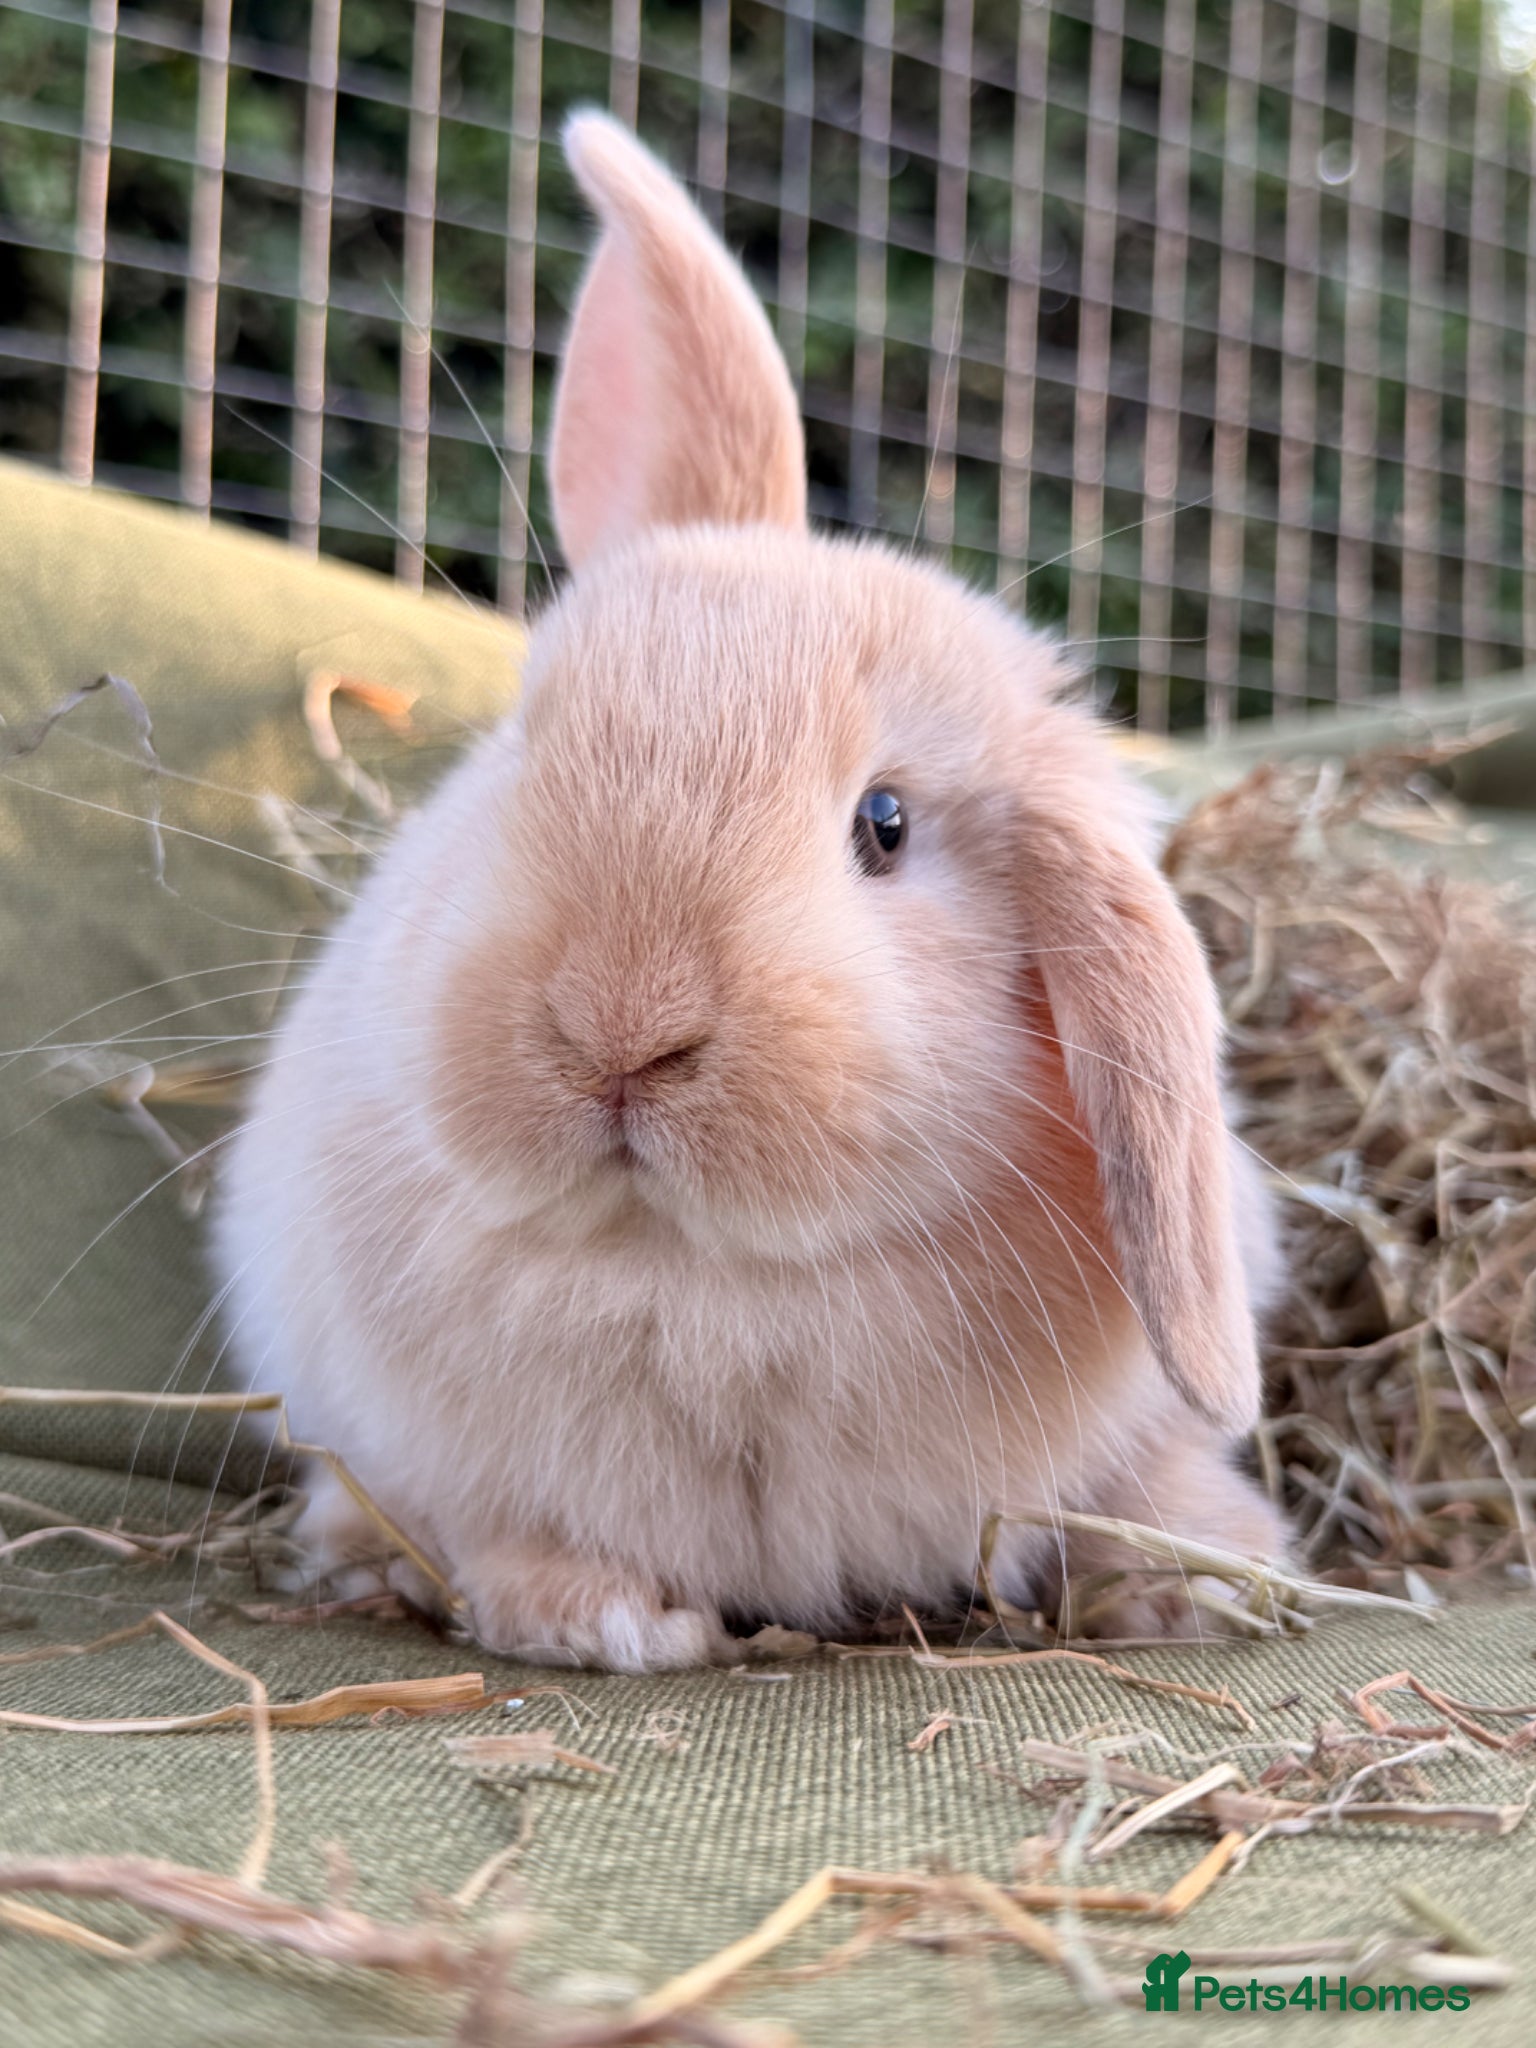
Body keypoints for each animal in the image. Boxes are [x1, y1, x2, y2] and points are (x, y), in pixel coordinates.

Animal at [212, 111, 1288, 1671]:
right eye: (525, 742)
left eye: (885, 825)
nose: (619, 1028)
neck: (703, 1275)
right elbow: (508, 1529)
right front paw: (600, 1619)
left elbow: (1132, 1488)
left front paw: (1199, 1579)